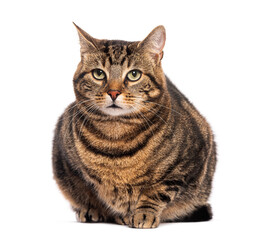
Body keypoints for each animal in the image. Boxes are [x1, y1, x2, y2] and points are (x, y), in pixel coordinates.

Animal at [52, 23, 216, 229]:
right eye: (98, 73)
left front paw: (143, 214)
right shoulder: (64, 157)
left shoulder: (188, 163)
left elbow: (157, 191)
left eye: (134, 74)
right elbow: (86, 190)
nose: (113, 92)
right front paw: (96, 209)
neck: (116, 137)